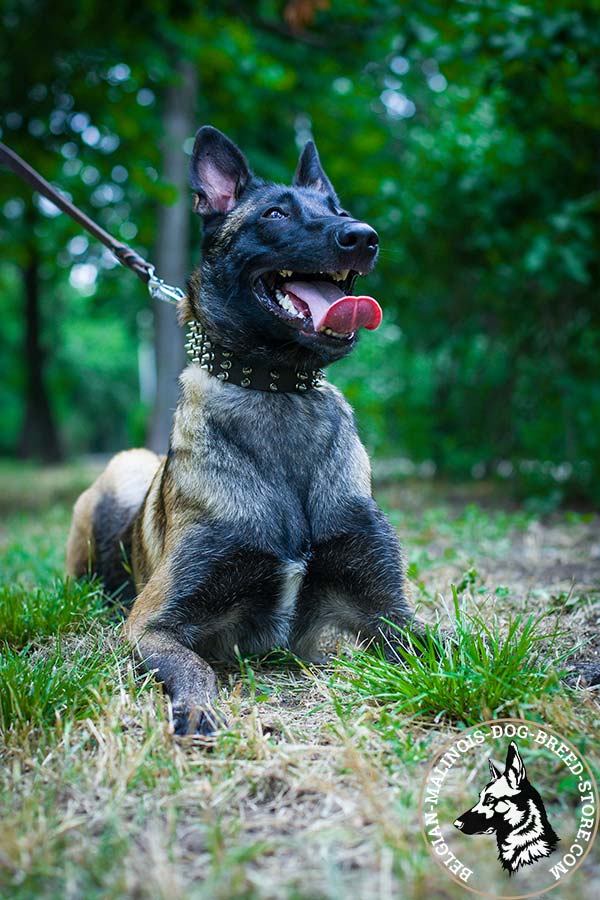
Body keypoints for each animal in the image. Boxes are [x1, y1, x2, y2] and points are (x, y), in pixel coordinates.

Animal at [65, 125, 422, 732]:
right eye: (275, 214)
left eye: (339, 211)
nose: (364, 237)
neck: (276, 388)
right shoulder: (151, 624)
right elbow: (191, 665)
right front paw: (198, 708)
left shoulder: (389, 612)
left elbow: (458, 646)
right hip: (117, 480)